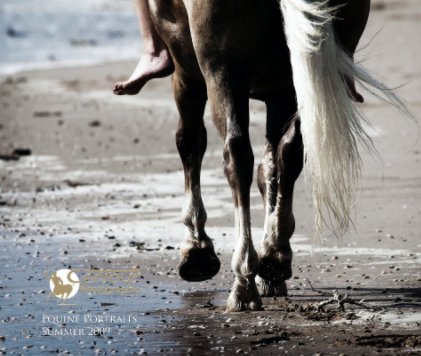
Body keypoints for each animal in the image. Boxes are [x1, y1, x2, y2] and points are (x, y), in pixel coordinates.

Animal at [146, 0, 406, 312]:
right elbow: (271, 167)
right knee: (291, 150)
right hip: (297, 74)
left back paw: (243, 281)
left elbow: (190, 143)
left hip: (221, 71)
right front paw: (270, 261)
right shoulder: (278, 92)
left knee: (236, 156)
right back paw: (273, 257)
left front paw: (196, 248)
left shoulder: (185, 67)